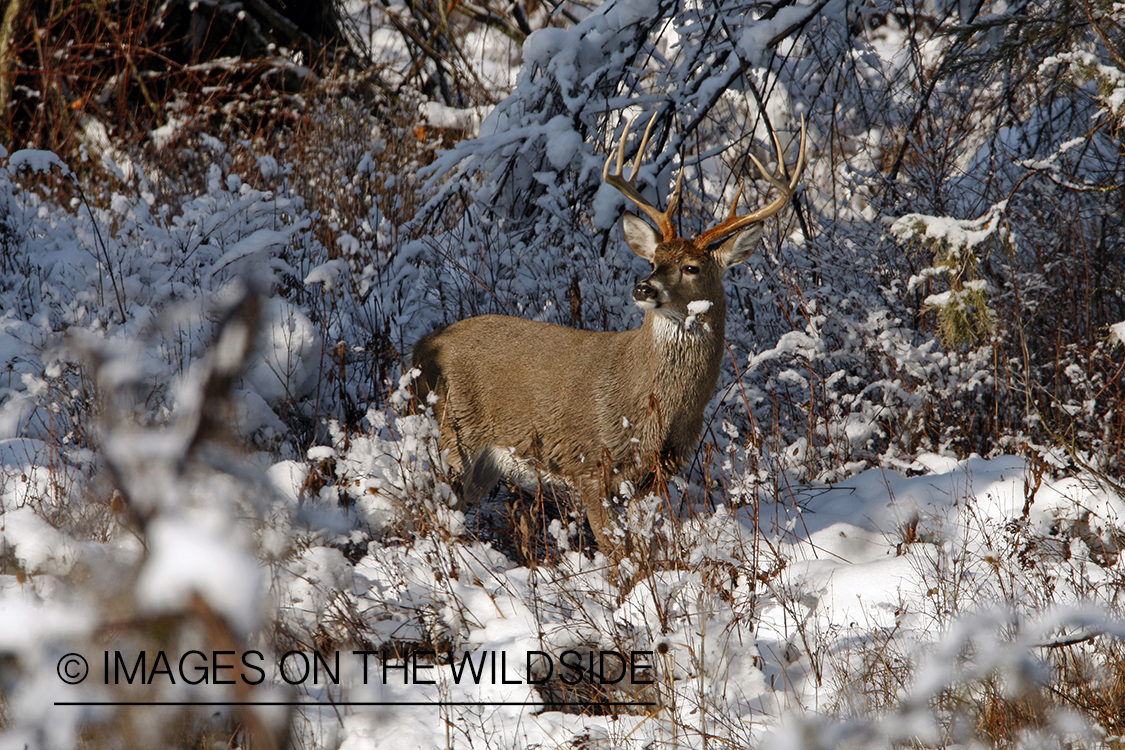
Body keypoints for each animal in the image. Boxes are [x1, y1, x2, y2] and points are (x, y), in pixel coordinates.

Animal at [409, 110, 805, 557]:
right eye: (653, 260)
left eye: (691, 267)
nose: (643, 288)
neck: (653, 405)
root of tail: (420, 347)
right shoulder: (590, 462)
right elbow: (617, 555)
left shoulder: (656, 474)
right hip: (452, 434)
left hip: (480, 463)